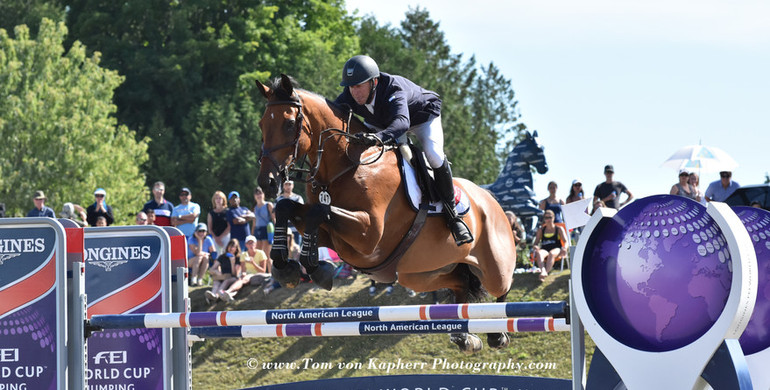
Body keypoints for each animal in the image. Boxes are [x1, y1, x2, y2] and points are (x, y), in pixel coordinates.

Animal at [254, 74, 516, 354]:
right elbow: (287, 207)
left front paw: (316, 268)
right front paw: (287, 268)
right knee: (461, 284)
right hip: (422, 274)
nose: (267, 182)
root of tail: (491, 199)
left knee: (501, 287)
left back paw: (496, 334)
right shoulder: (331, 235)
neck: (348, 164)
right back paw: (465, 337)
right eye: (262, 124)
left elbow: (318, 211)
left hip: (494, 266)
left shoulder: (368, 234)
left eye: (289, 123)